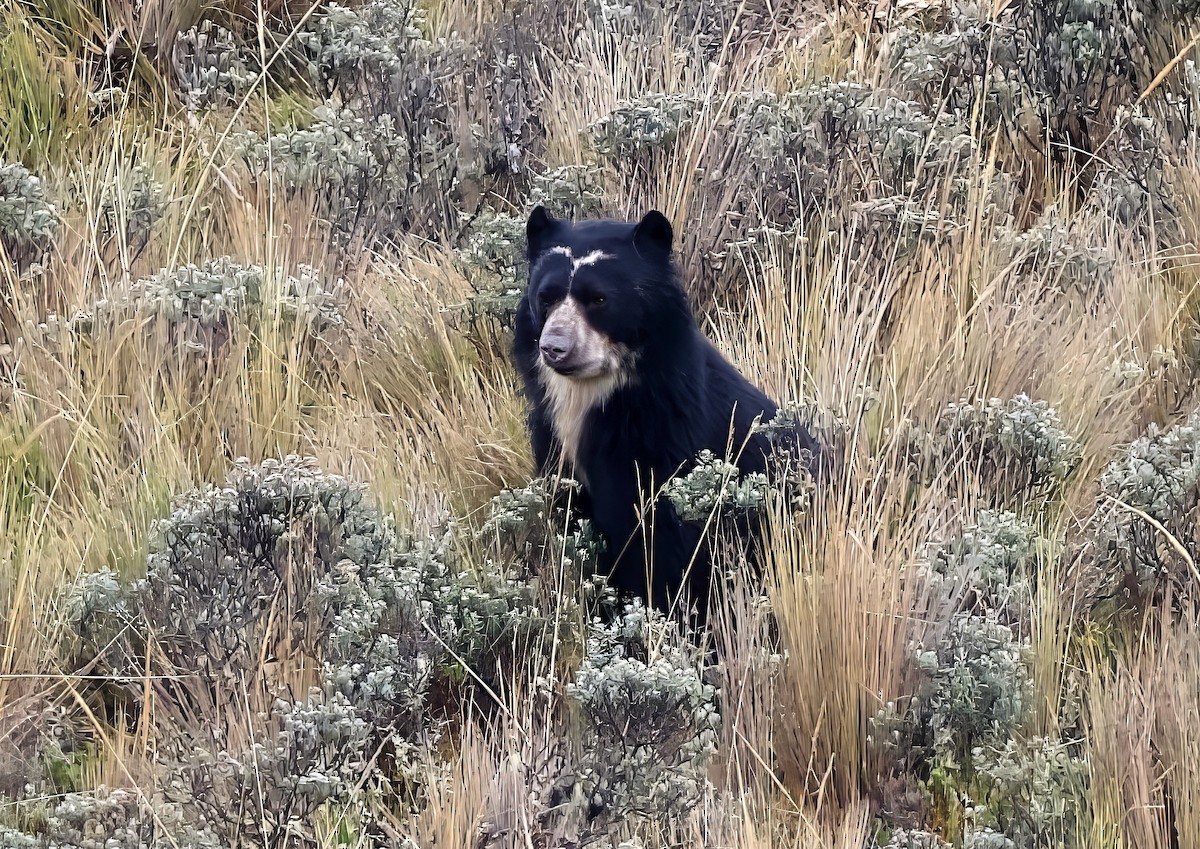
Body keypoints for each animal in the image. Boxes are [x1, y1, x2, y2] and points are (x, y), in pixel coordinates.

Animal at [512, 205, 820, 621]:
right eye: (545, 298)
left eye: (599, 299)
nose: (554, 348)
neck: (593, 396)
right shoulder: (554, 444)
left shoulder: (662, 445)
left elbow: (657, 547)